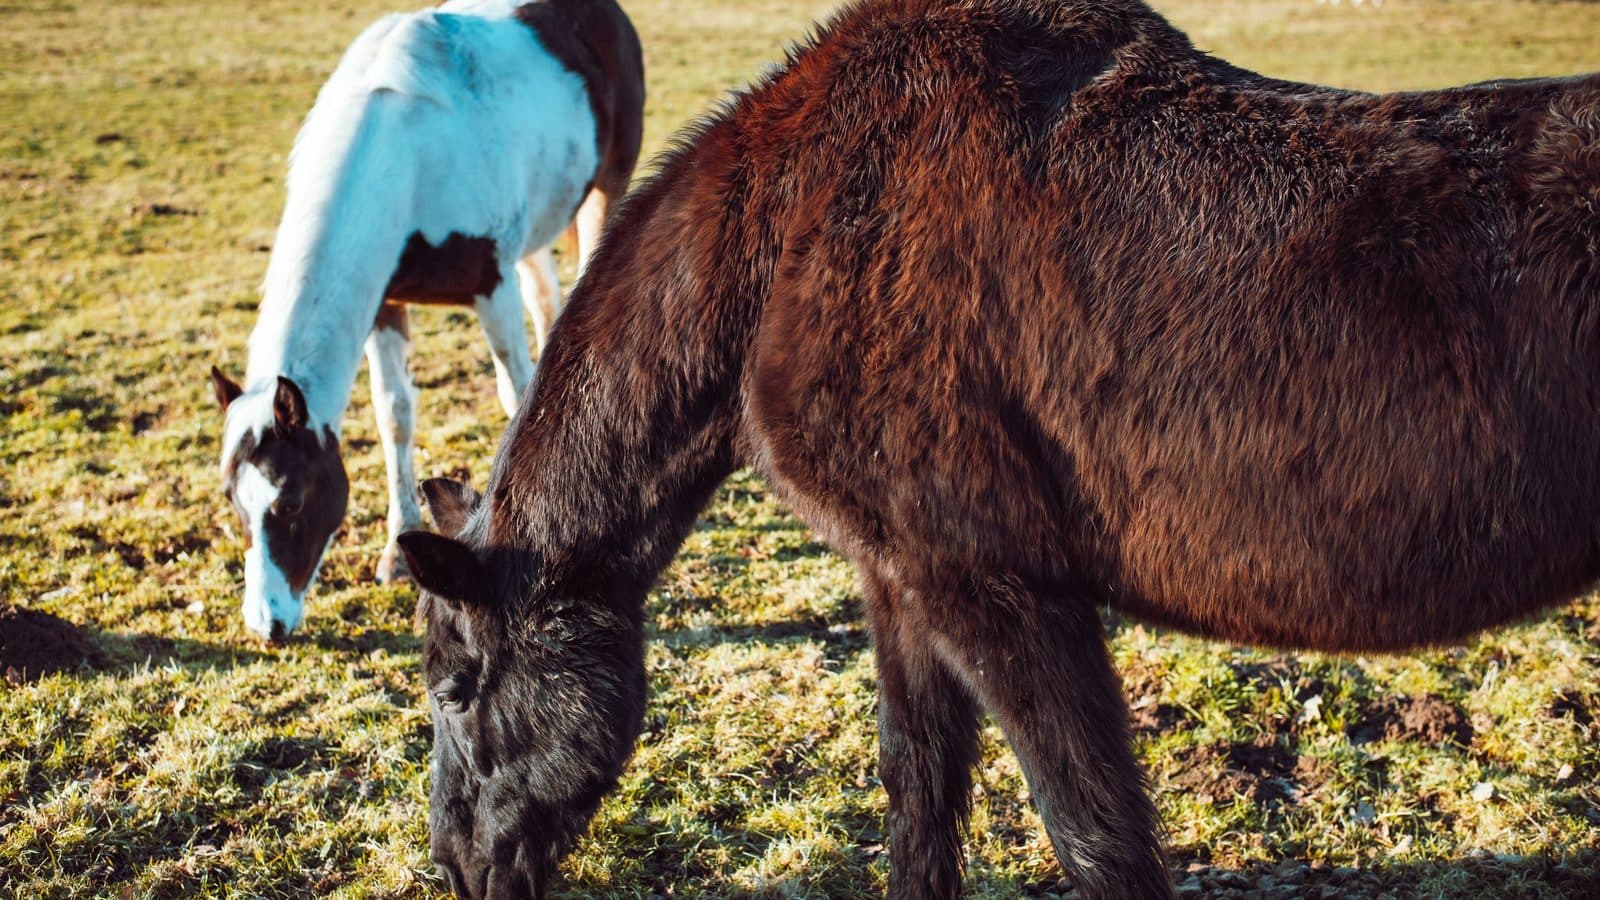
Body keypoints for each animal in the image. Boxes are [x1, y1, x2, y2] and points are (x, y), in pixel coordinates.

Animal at [209, 0, 643, 641]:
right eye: (233, 501)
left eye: (289, 502)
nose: (268, 624)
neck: (404, 157)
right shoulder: (385, 304)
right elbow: (394, 416)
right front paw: (395, 548)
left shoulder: (490, 287)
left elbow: (518, 399)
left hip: (605, 190)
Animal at [395, 0, 1600, 895]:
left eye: (455, 688)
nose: (456, 866)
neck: (798, 231)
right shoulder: (901, 581)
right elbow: (918, 795)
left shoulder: (998, 589)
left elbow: (1094, 837)